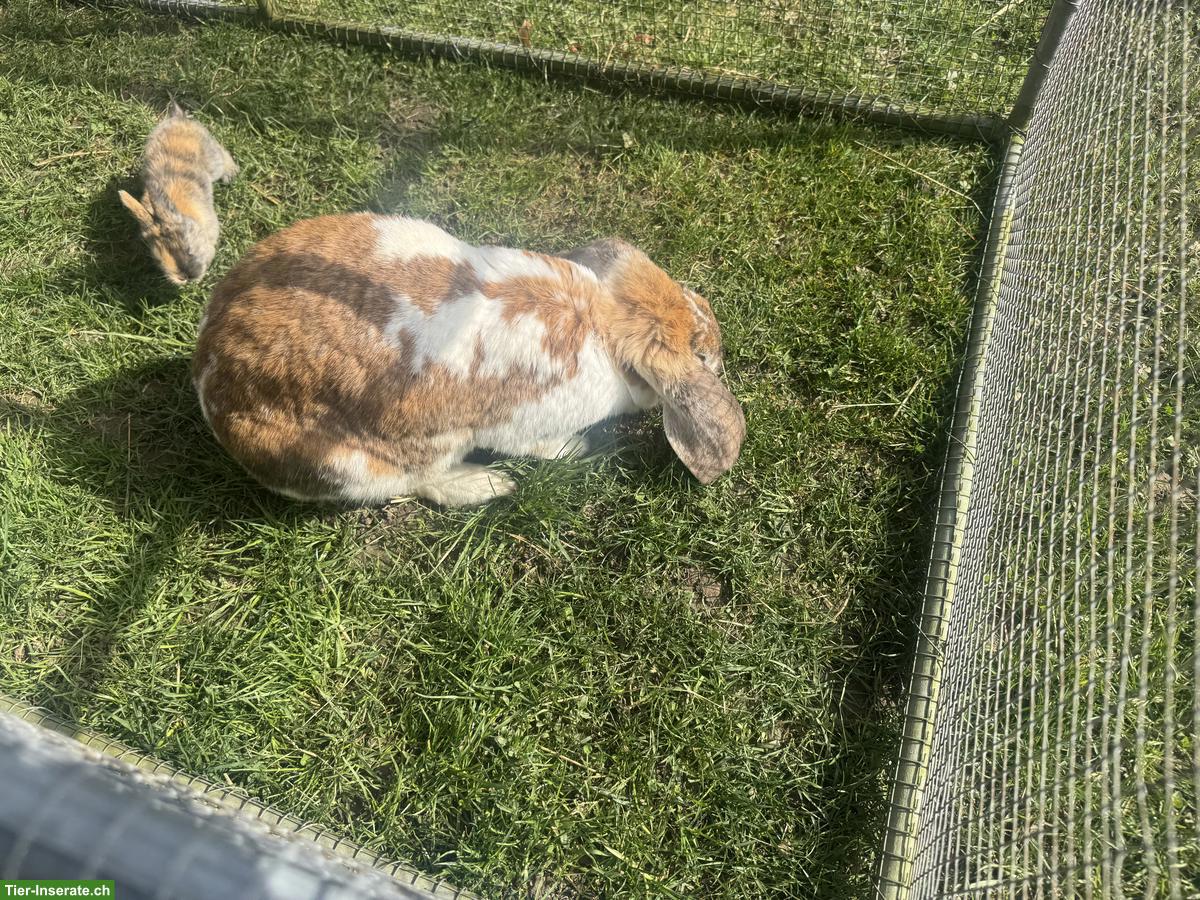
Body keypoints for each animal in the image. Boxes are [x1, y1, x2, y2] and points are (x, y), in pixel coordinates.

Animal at [118, 102, 237, 286]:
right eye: (158, 259)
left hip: (213, 159)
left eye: (189, 250)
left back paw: (231, 173)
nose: (186, 277)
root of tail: (179, 119)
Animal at [192, 213, 746, 507]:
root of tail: (210, 379)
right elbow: (543, 446)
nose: (719, 339)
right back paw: (488, 484)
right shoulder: (524, 426)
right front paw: (577, 449)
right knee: (422, 483)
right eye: (702, 355)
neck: (607, 323)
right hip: (366, 463)